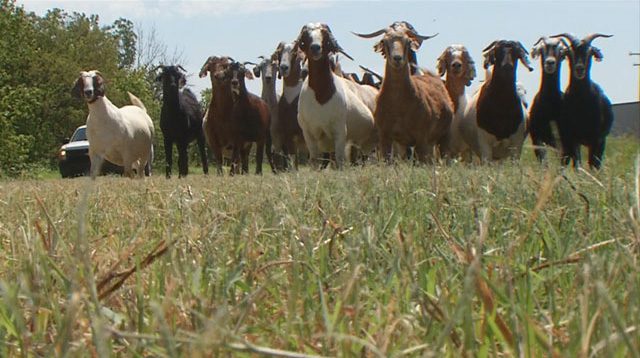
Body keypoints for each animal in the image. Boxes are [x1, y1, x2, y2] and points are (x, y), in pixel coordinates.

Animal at [352, 21, 452, 162]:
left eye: (408, 41)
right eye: (384, 41)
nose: (397, 58)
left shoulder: (421, 138)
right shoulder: (386, 137)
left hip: (443, 137)